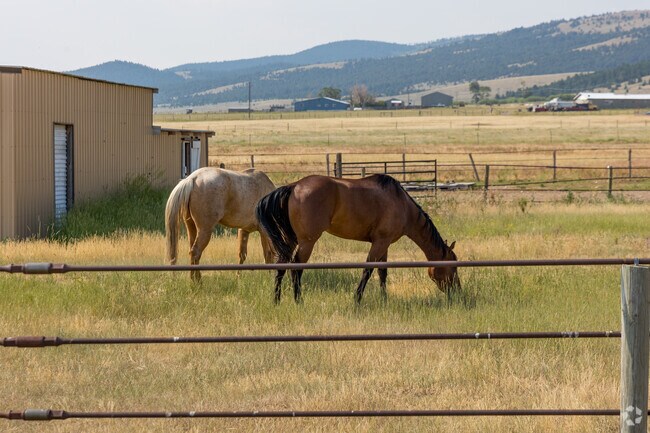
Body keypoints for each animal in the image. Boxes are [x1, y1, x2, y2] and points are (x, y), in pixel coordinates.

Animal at [255, 173, 460, 304]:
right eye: (454, 266)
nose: (457, 290)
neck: (402, 204)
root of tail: (294, 186)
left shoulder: (384, 244)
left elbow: (382, 272)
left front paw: (384, 300)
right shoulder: (380, 243)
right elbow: (368, 270)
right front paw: (357, 299)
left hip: (292, 241)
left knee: (282, 266)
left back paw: (277, 300)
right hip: (307, 241)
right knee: (296, 268)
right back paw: (299, 301)